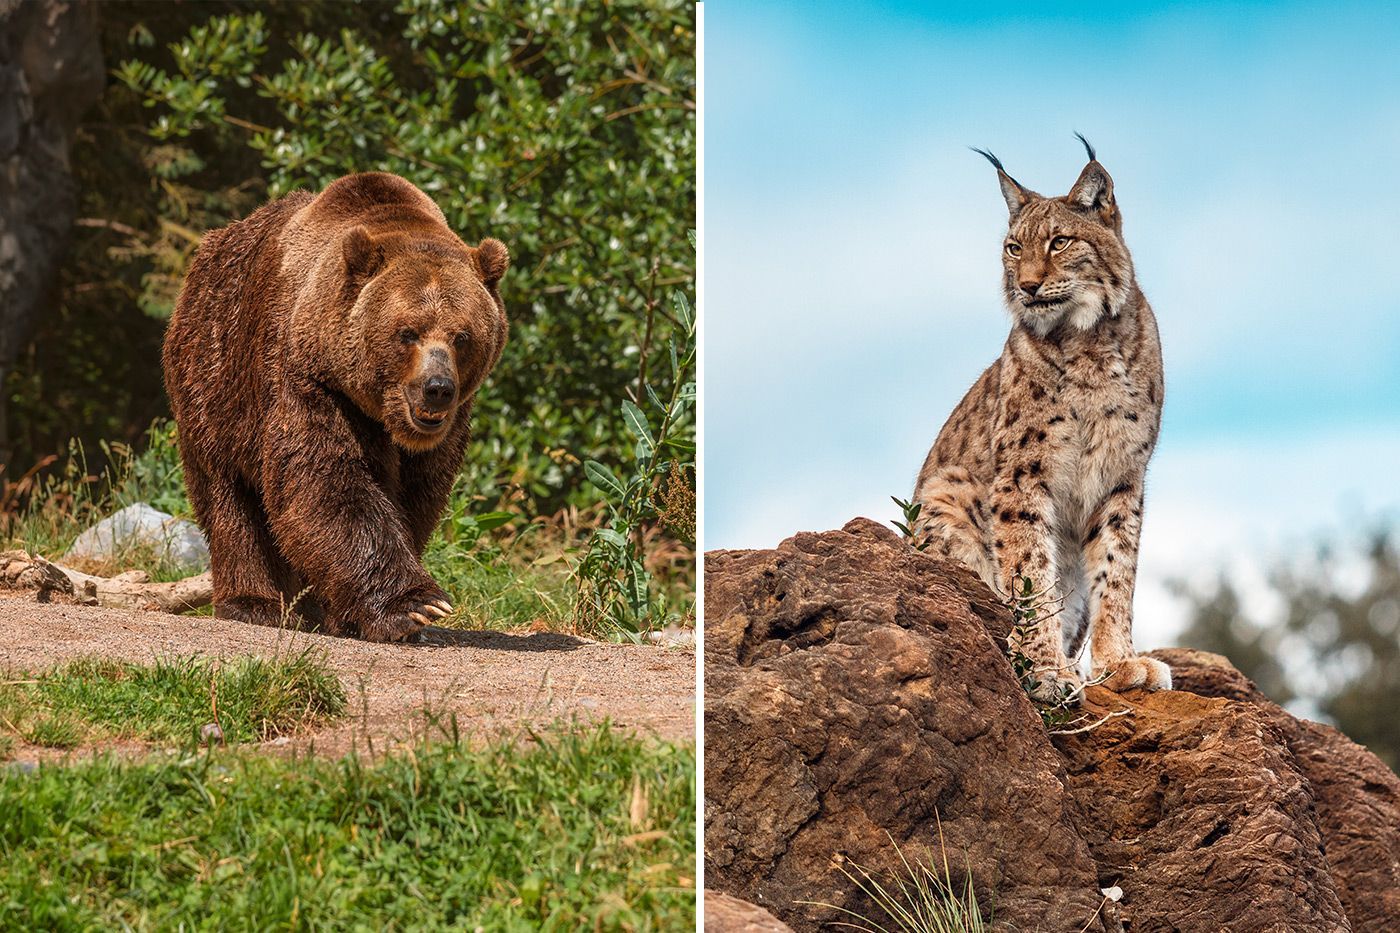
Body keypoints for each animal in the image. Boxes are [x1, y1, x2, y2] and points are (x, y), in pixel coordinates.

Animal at [162, 172, 509, 642]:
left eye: (462, 336)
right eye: (408, 332)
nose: (437, 389)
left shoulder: (442, 433)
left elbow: (417, 498)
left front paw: (354, 614)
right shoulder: (311, 381)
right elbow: (327, 482)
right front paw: (414, 606)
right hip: (214, 377)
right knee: (229, 497)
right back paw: (253, 603)